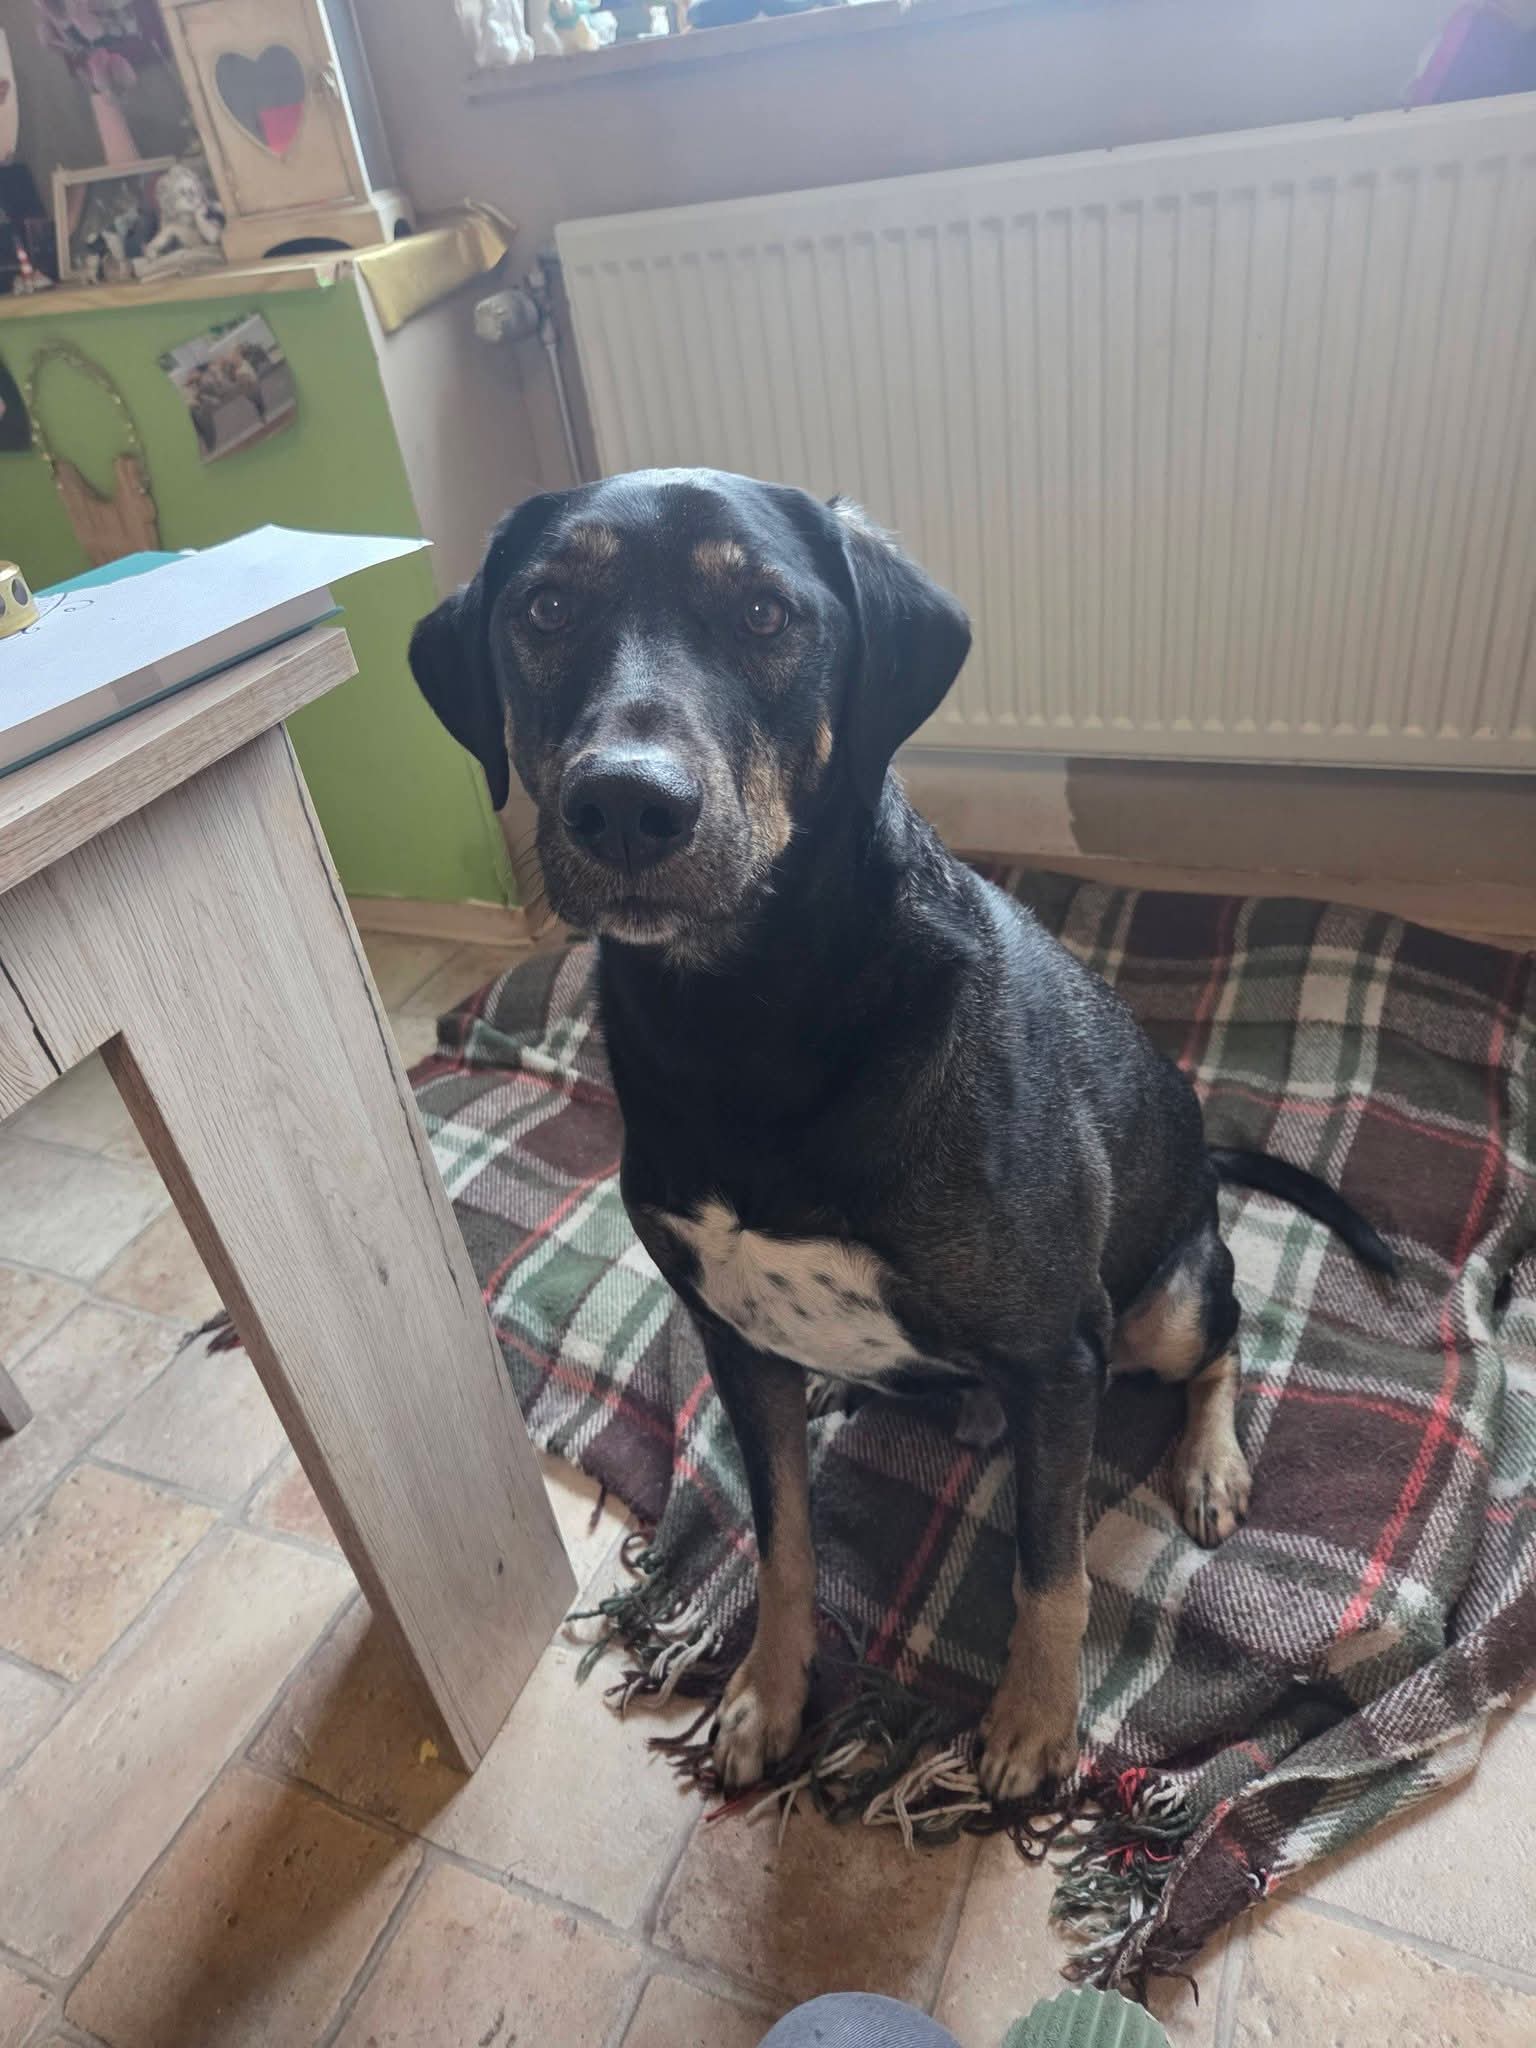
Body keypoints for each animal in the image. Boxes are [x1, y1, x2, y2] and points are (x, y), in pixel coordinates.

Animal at [409, 469, 1394, 1801]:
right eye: (546, 606)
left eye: (767, 613)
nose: (624, 804)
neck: (747, 1015)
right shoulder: (730, 1335)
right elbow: (781, 1540)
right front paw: (765, 1693)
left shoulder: (1056, 1352)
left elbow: (1048, 1569)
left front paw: (1030, 1723)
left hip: (1166, 1300)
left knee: (1225, 1336)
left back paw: (1206, 1462)